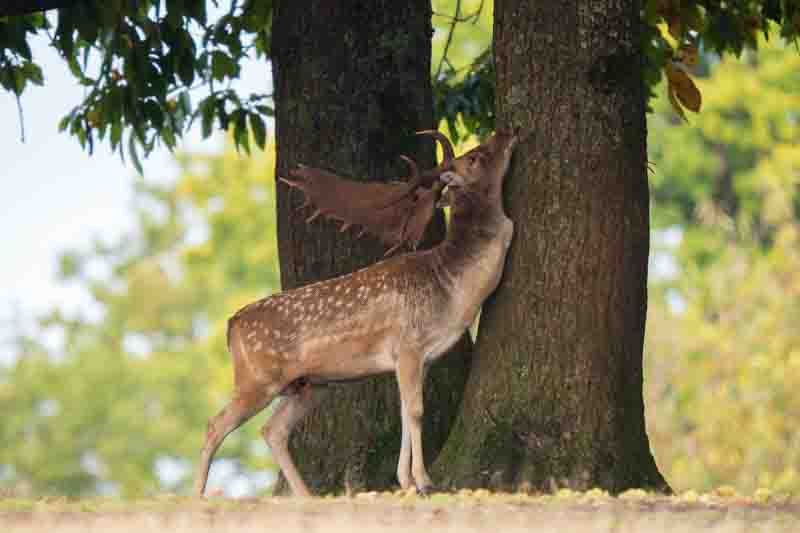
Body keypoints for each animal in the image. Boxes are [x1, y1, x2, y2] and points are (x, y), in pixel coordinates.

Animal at [194, 129, 518, 497]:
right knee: (215, 424)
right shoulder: (407, 346)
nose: (506, 132)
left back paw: (307, 496)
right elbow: (416, 411)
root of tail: (230, 325)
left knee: (272, 430)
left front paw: (405, 481)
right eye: (475, 157)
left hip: (308, 385)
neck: (452, 291)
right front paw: (423, 482)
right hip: (258, 378)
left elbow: (405, 412)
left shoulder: (421, 359)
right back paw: (196, 497)